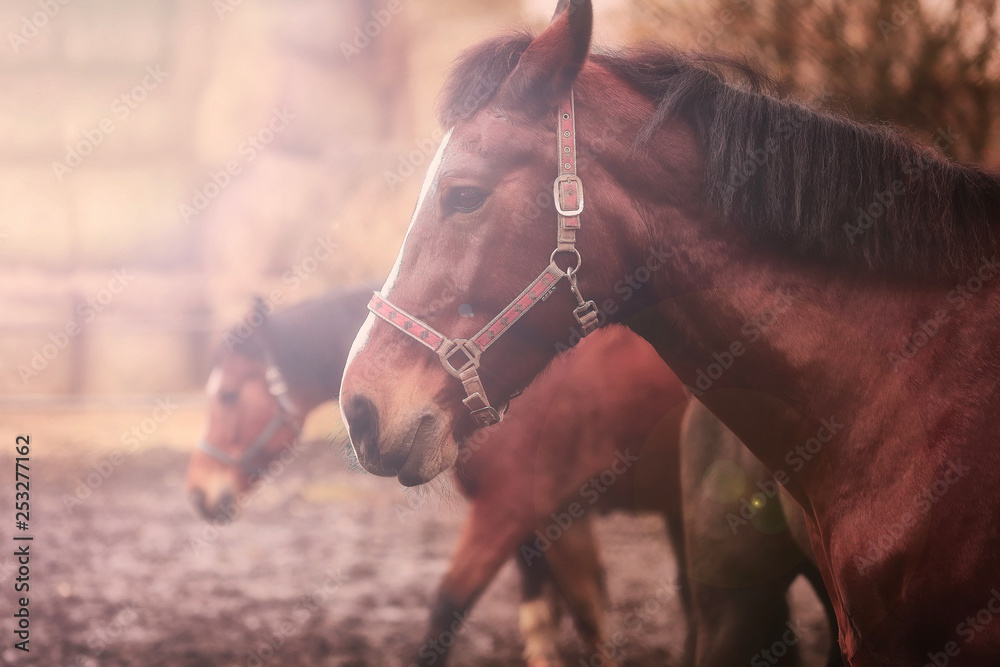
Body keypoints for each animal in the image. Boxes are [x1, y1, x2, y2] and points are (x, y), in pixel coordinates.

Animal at [186, 292, 840, 666]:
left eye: (228, 394)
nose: (198, 492)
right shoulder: (548, 523)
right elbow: (560, 615)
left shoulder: (511, 511)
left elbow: (451, 610)